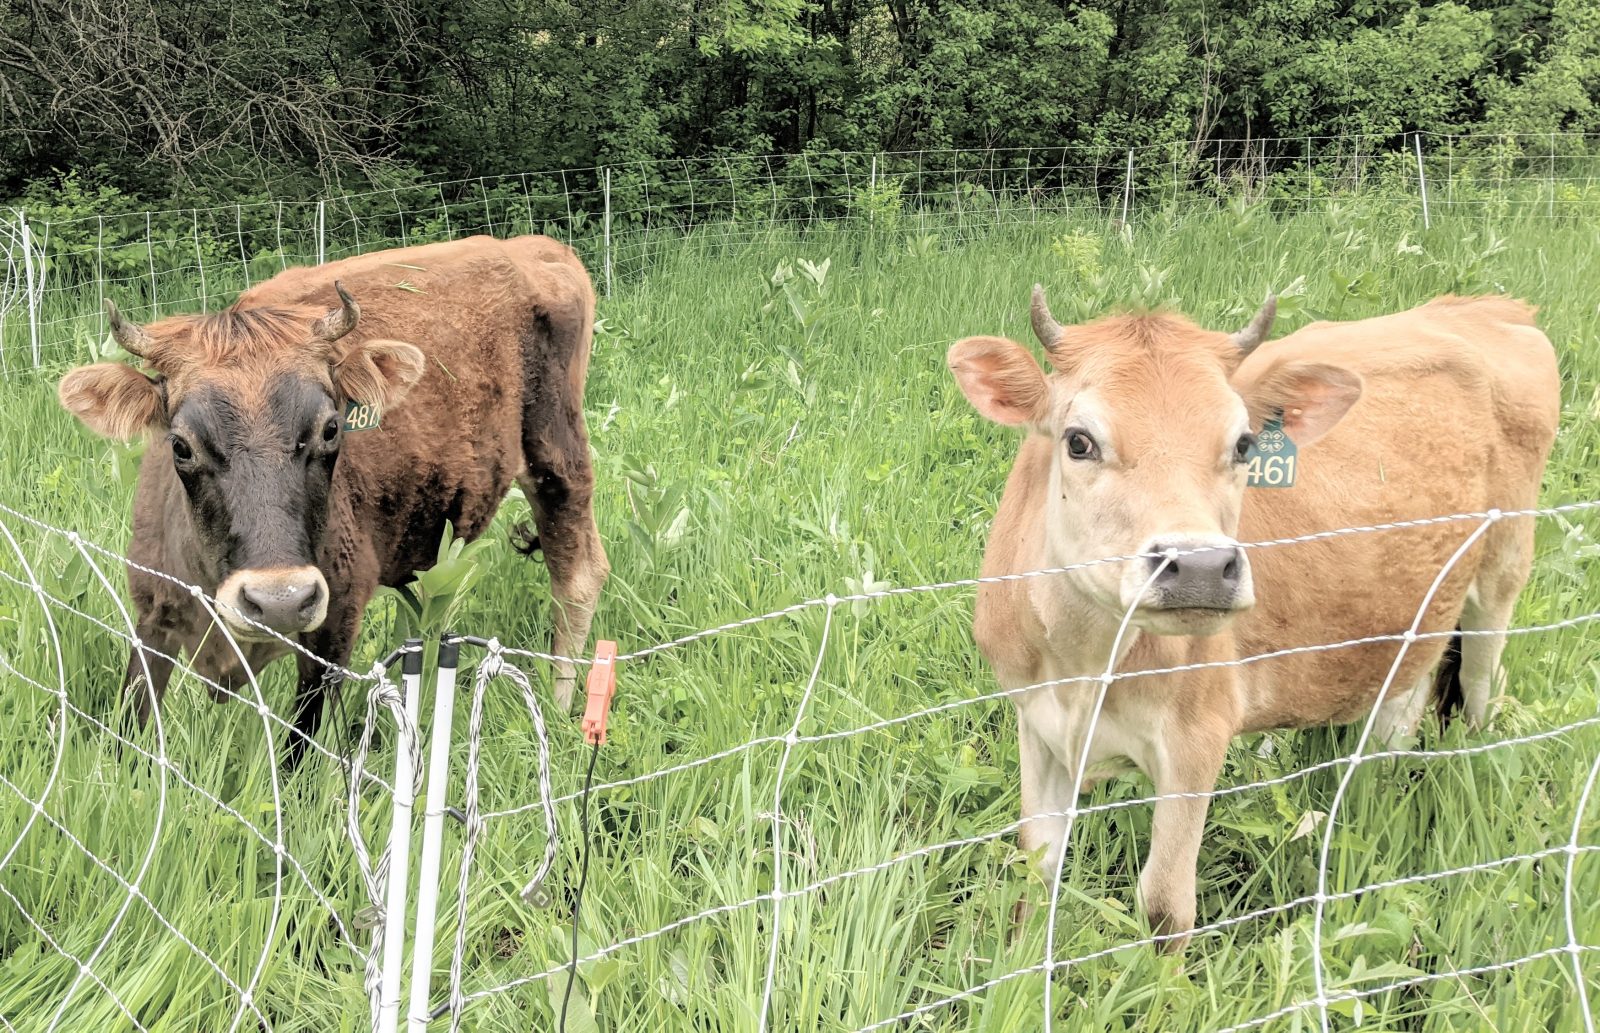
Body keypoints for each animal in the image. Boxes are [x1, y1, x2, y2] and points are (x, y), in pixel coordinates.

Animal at [59, 235, 608, 767]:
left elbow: (301, 749)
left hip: (558, 456)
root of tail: (533, 248)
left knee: (578, 574)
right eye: (180, 445)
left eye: (330, 429)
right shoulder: (153, 615)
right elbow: (130, 729)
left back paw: (560, 707)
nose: (278, 601)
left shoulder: (335, 618)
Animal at [947, 287, 1561, 953]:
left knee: (1481, 692)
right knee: (1403, 697)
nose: (1197, 566)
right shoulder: (1036, 722)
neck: (1084, 665)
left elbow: (1165, 910)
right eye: (1078, 440)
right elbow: (1035, 870)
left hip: (1502, 572)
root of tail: (1483, 307)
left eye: (1243, 444)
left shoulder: (1197, 736)